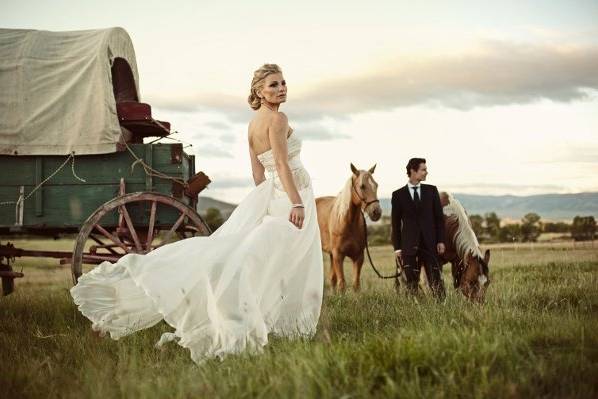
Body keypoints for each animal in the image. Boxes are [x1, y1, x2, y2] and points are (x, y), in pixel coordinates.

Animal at [316, 164, 382, 292]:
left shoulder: (358, 257)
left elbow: (356, 285)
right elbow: (342, 284)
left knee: (332, 279)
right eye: (362, 186)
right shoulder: (338, 255)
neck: (347, 222)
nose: (376, 212)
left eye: (376, 185)